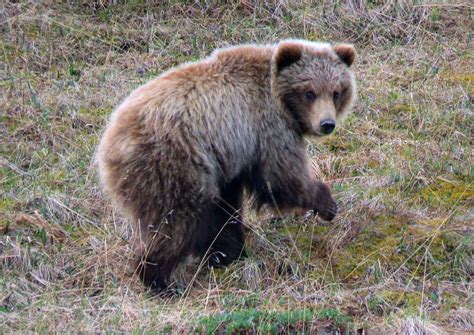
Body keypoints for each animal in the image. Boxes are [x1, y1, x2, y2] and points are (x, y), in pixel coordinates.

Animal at [97, 39, 356, 292]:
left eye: (336, 92)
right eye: (309, 92)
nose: (327, 123)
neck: (281, 103)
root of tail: (110, 142)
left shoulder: (230, 158)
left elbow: (227, 207)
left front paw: (228, 252)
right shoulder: (266, 126)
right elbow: (280, 178)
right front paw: (326, 203)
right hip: (173, 163)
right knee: (176, 222)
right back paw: (159, 280)